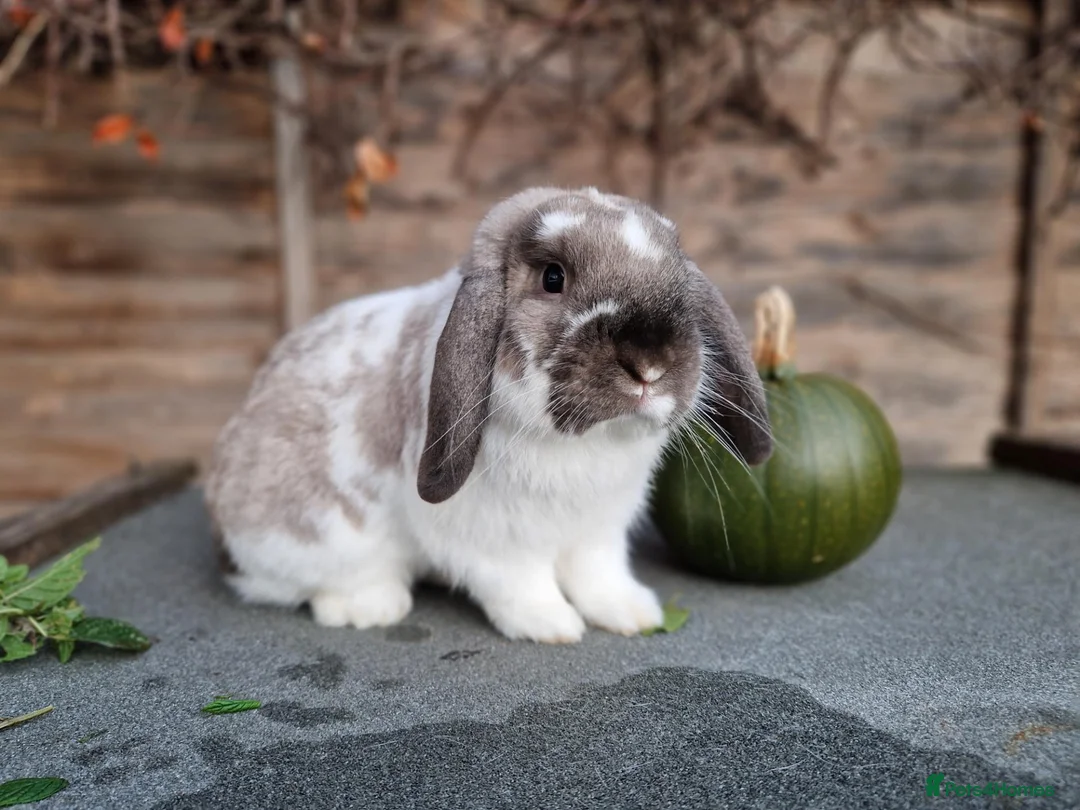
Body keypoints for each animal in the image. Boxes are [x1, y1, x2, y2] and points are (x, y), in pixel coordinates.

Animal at [204, 185, 772, 644]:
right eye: (552, 277)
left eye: (677, 278)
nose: (650, 364)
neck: (586, 445)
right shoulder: (496, 540)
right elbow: (520, 582)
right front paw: (552, 626)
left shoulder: (598, 531)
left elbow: (599, 576)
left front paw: (633, 614)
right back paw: (370, 606)